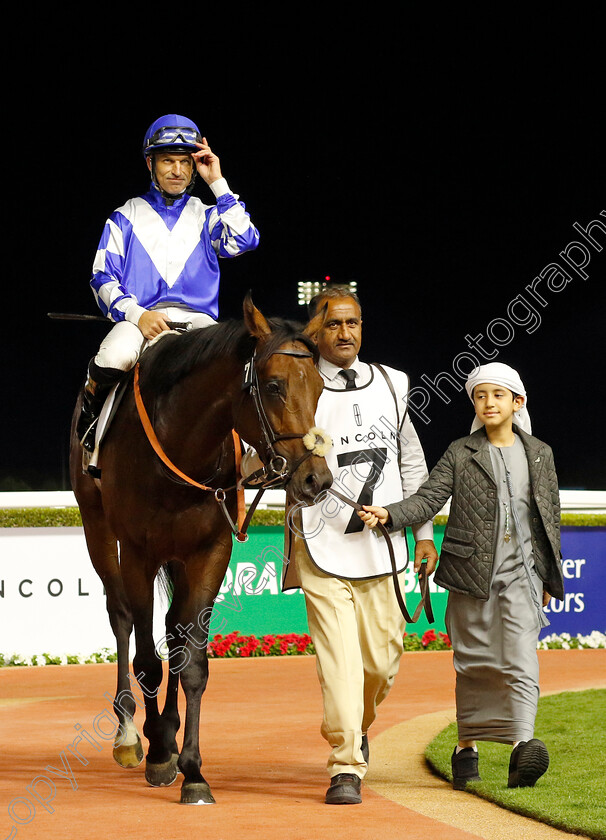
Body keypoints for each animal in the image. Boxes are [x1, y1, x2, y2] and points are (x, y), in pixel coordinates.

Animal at [69, 294, 334, 800]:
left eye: (321, 387)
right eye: (273, 386)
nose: (317, 479)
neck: (181, 443)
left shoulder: (209, 551)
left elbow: (191, 660)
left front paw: (191, 769)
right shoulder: (137, 552)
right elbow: (147, 659)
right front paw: (155, 753)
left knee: (174, 629)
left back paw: (168, 731)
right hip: (98, 529)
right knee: (121, 616)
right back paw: (130, 732)